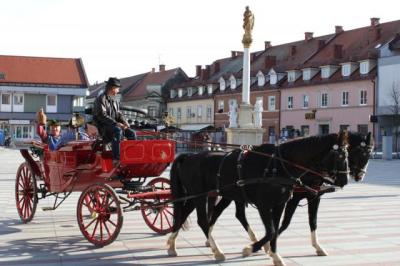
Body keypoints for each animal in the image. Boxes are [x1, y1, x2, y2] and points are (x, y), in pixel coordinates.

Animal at [167, 131, 348, 266]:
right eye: (340, 157)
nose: (345, 180)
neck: (279, 165)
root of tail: (189, 156)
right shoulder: (264, 205)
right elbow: (272, 231)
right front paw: (250, 248)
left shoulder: (280, 204)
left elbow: (276, 229)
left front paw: (275, 255)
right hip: (200, 196)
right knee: (202, 221)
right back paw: (217, 250)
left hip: (197, 195)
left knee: (184, 215)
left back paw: (172, 244)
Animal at [208, 132, 374, 258]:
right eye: (358, 153)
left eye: (369, 155)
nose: (356, 177)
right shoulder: (293, 199)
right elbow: (285, 223)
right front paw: (264, 246)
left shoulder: (314, 197)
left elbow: (312, 222)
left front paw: (317, 246)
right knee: (222, 213)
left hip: (231, 195)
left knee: (234, 214)